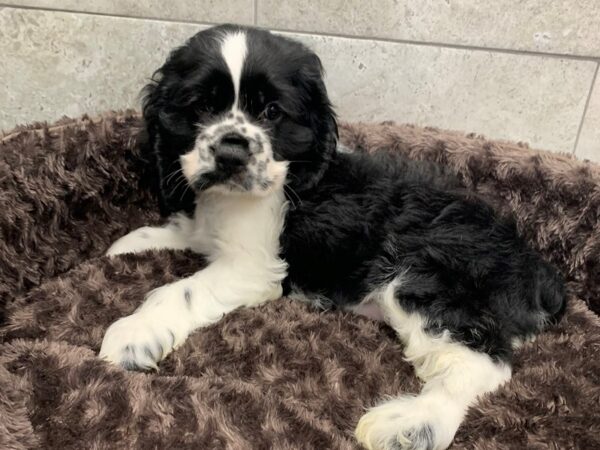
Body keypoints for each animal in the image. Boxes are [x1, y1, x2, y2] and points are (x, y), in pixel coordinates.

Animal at [99, 25, 568, 450]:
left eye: (272, 112)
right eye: (200, 106)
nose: (231, 151)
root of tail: (538, 271)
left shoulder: (253, 266)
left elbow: (179, 291)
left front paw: (133, 333)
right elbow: (180, 229)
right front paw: (124, 246)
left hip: (426, 279)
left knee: (481, 365)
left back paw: (410, 425)